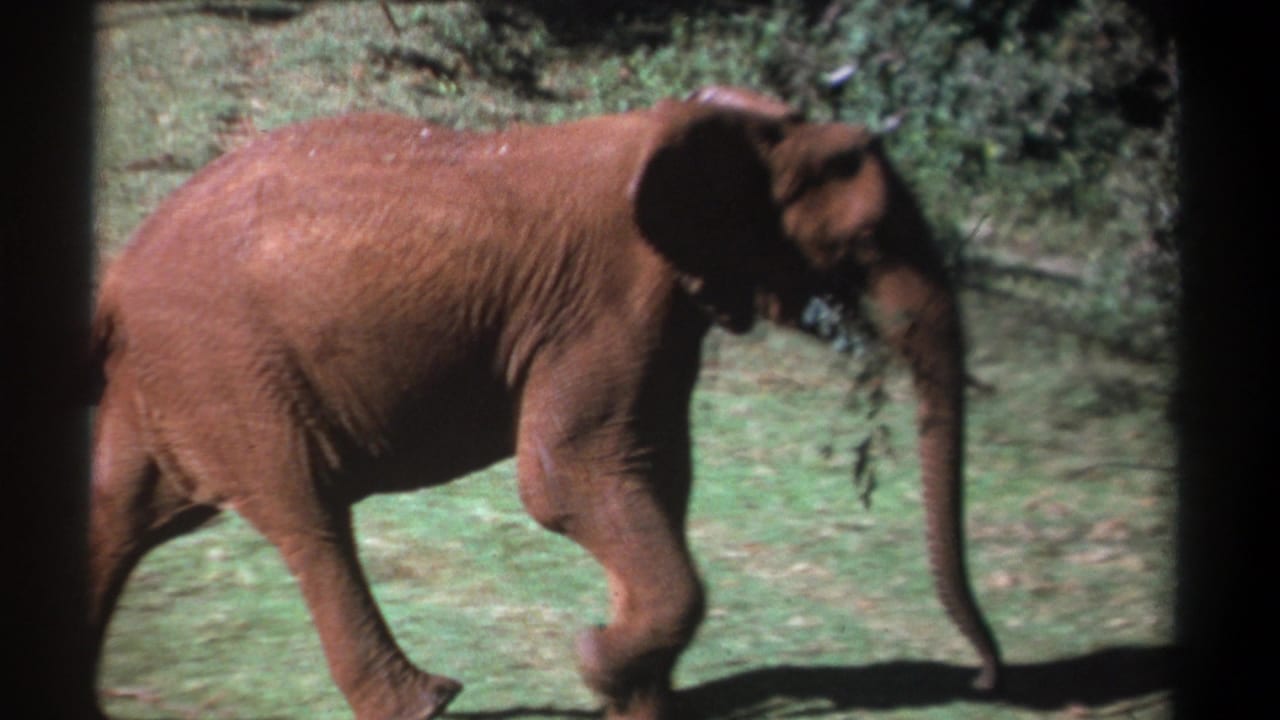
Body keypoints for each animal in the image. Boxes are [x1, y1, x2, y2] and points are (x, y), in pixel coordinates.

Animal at [87, 86, 1001, 720]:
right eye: (868, 242)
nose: (986, 676)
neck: (718, 125)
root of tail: (116, 278)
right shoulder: (606, 302)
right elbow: (568, 482)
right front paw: (597, 659)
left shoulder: (660, 316)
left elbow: (655, 475)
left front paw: (631, 694)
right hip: (231, 371)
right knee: (308, 519)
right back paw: (430, 700)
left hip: (176, 379)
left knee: (119, 515)